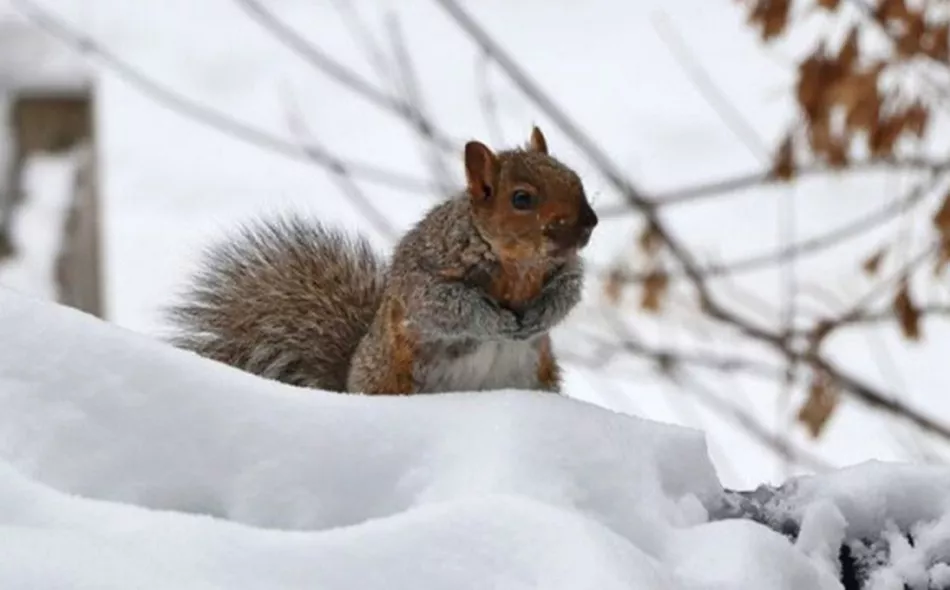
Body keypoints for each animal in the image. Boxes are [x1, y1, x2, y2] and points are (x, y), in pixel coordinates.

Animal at [166, 126, 598, 395]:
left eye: (575, 177)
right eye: (522, 198)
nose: (590, 222)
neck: (519, 265)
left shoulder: (566, 270)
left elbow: (569, 290)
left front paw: (541, 313)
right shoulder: (425, 278)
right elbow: (450, 305)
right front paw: (497, 321)